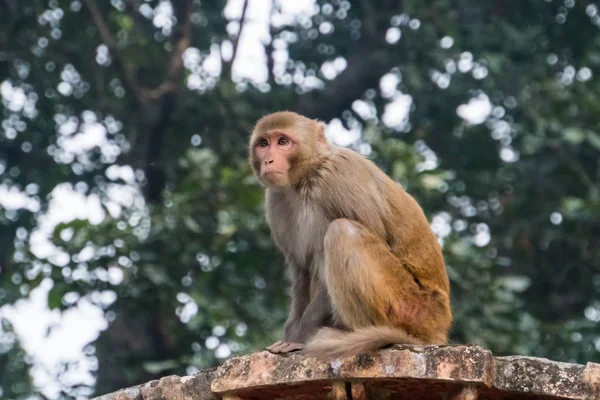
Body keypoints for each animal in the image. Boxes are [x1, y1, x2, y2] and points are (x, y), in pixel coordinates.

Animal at [247, 110, 450, 360]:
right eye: (264, 143)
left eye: (283, 141)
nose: (268, 160)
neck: (307, 175)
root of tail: (438, 326)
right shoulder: (275, 199)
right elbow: (302, 269)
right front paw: (291, 333)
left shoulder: (337, 179)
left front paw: (299, 337)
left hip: (409, 306)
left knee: (343, 231)